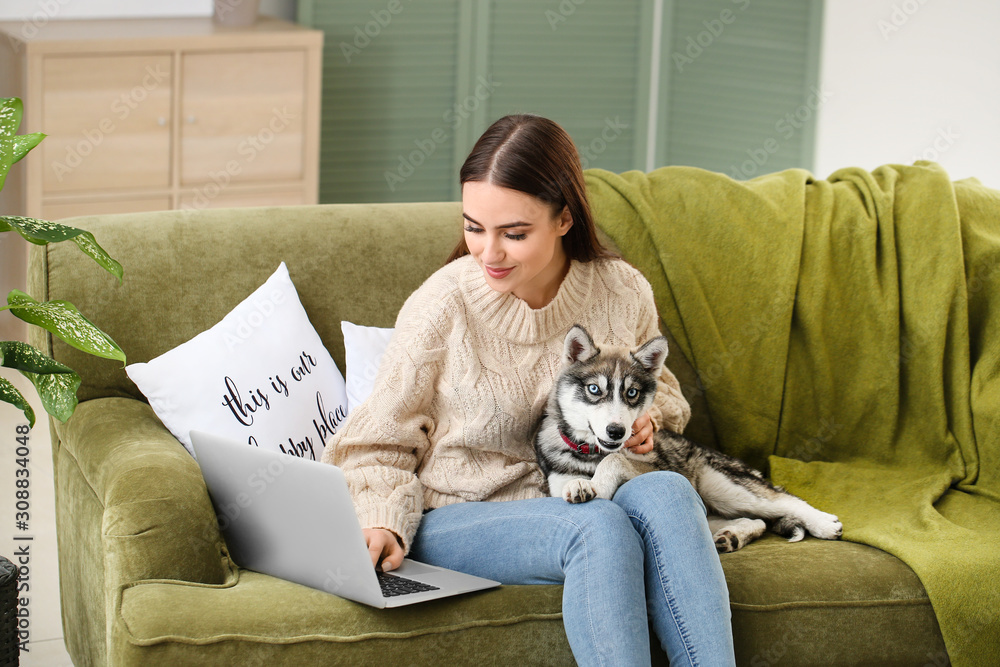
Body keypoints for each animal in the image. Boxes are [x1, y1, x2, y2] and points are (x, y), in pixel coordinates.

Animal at [532, 324, 844, 552]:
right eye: (594, 389)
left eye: (631, 393)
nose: (616, 432)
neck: (594, 454)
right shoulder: (557, 483)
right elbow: (572, 482)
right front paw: (581, 485)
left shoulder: (656, 467)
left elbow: (616, 460)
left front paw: (600, 483)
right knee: (755, 519)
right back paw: (732, 535)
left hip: (721, 484)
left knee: (783, 499)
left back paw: (825, 523)